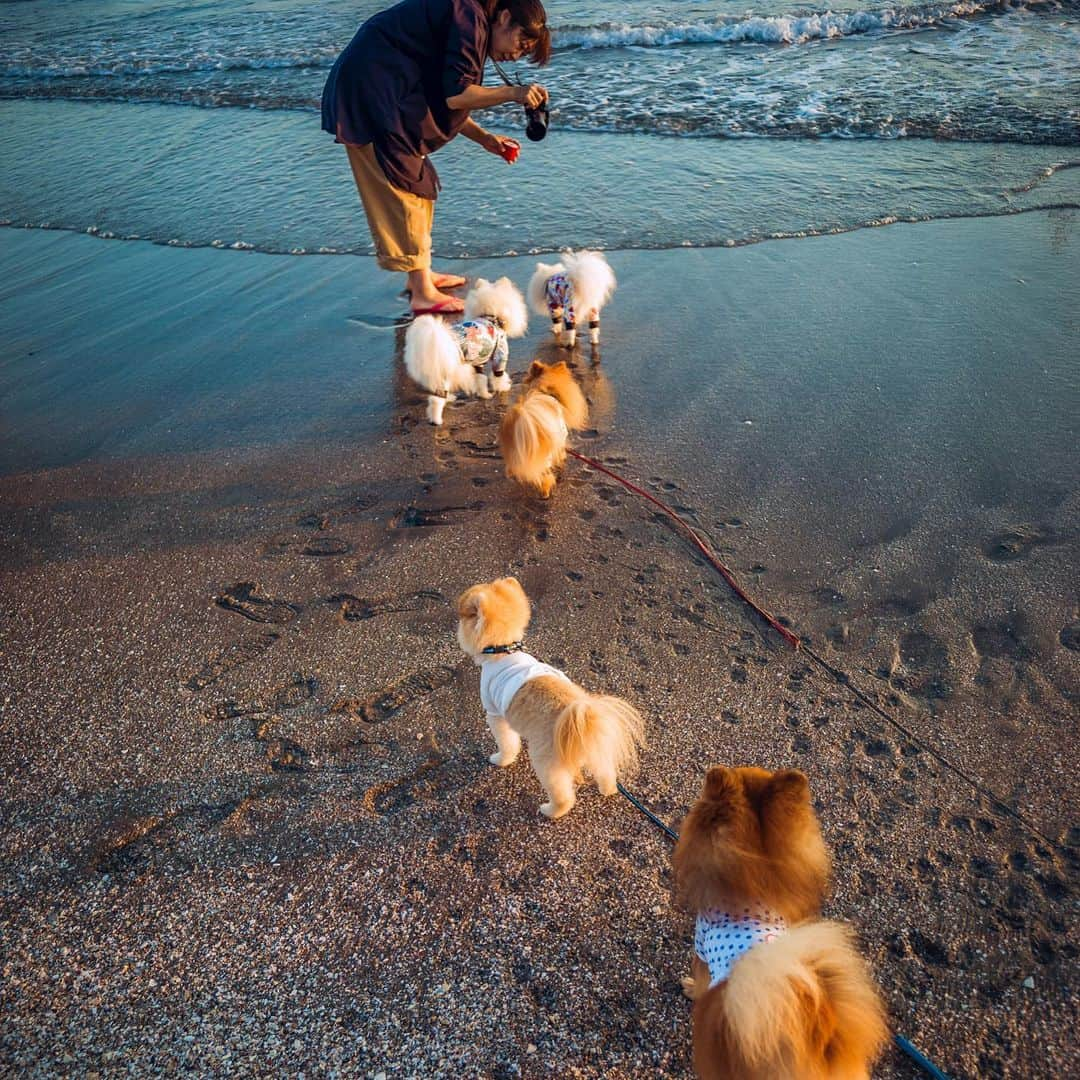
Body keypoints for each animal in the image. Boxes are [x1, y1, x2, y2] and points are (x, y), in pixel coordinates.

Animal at [403, 276, 529, 423]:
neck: (490, 316)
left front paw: (484, 395)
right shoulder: (500, 355)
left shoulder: (479, 361)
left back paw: (449, 399)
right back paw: (437, 421)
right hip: (446, 372)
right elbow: (499, 376)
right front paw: (503, 388)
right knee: (436, 401)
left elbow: (480, 379)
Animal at [453, 574, 639, 816]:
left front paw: (500, 759)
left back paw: (550, 811)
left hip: (546, 761)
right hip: (596, 753)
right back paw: (607, 789)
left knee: (563, 796)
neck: (503, 649)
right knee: (606, 772)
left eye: (462, 617)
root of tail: (582, 720)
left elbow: (507, 744)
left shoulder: (495, 713)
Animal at [498, 360, 591, 498]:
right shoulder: (560, 439)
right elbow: (561, 453)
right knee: (545, 477)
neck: (543, 390)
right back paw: (545, 493)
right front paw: (562, 459)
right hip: (545, 457)